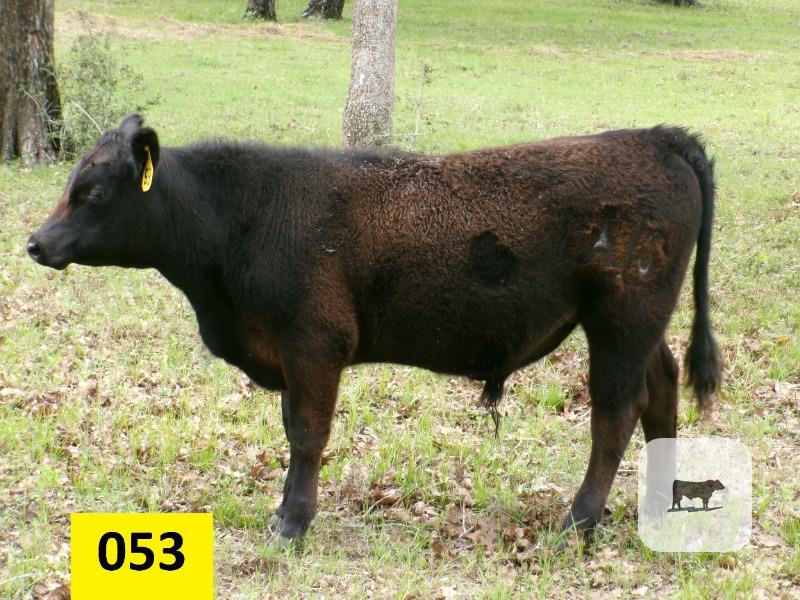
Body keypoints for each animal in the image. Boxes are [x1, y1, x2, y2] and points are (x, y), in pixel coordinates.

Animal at [27, 115, 721, 544]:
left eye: (93, 192)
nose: (36, 243)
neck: (243, 216)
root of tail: (656, 138)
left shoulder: (314, 345)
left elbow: (307, 435)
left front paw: (292, 525)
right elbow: (295, 432)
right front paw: (284, 514)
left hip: (620, 323)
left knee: (617, 412)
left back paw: (579, 522)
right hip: (639, 327)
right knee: (661, 389)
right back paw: (656, 501)